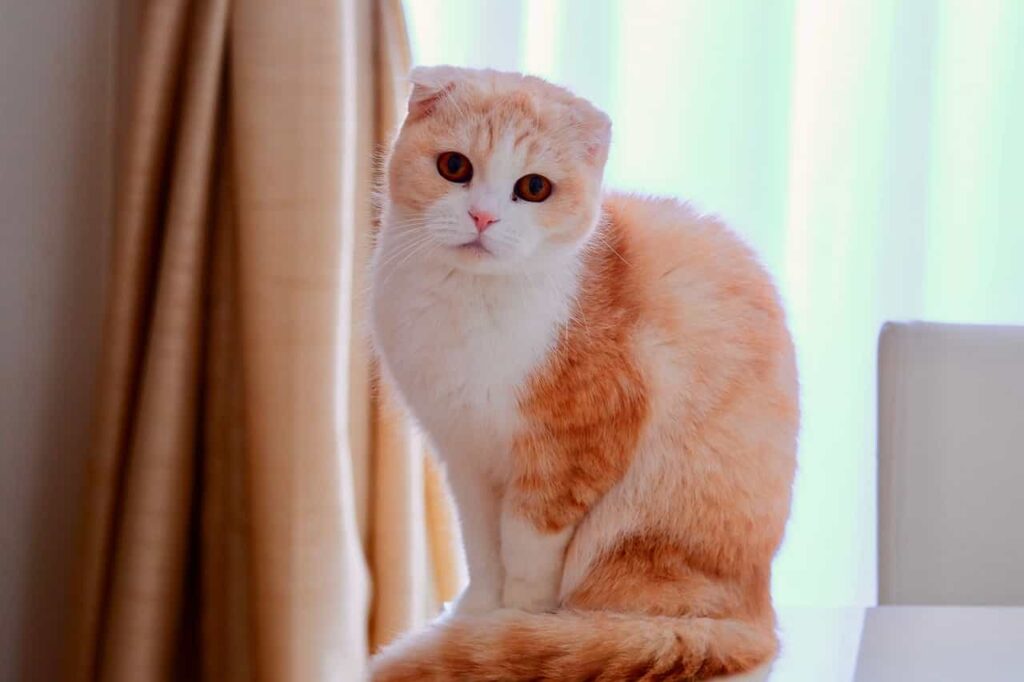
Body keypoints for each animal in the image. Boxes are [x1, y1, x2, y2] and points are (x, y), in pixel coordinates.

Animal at [368, 65, 798, 679]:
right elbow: (482, 548)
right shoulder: (465, 454)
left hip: (630, 536)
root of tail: (762, 619)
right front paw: (476, 613)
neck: (469, 304)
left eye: (534, 188)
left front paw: (514, 624)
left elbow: (525, 550)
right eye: (454, 166)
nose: (482, 216)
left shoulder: (574, 449)